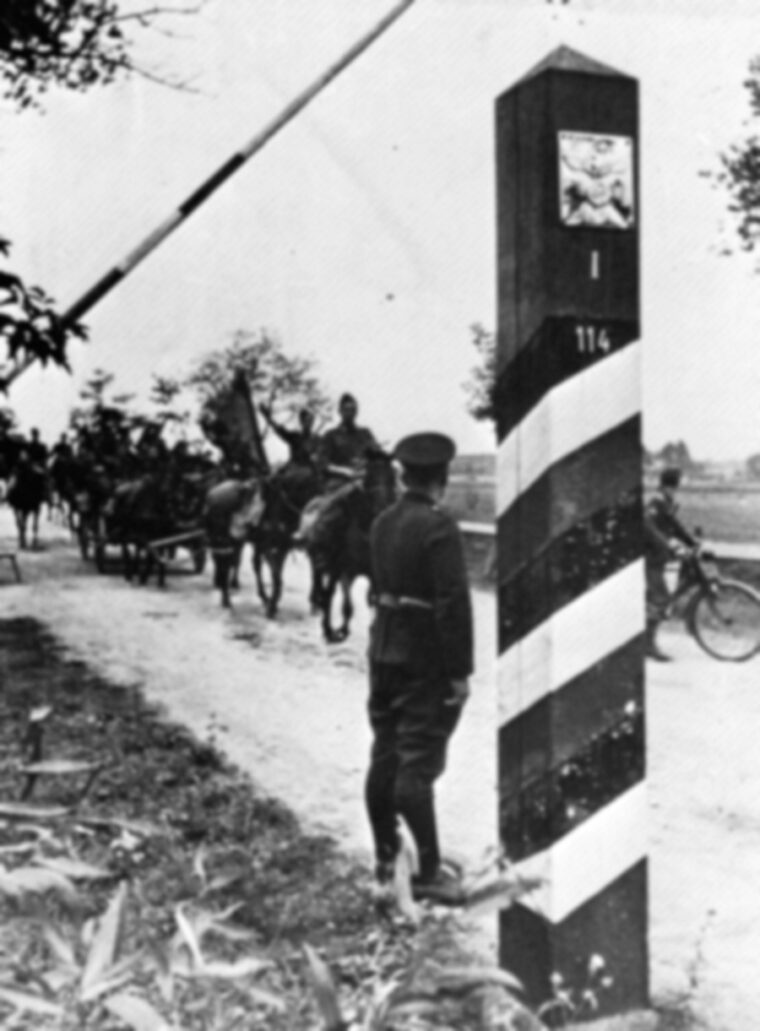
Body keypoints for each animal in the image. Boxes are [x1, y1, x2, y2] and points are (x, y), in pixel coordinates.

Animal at [303, 451, 398, 643]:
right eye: (369, 477)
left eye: (392, 476)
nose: (383, 507)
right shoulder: (343, 569)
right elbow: (345, 604)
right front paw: (335, 630)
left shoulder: (372, 573)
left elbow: (374, 601)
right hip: (320, 562)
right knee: (323, 587)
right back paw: (321, 613)